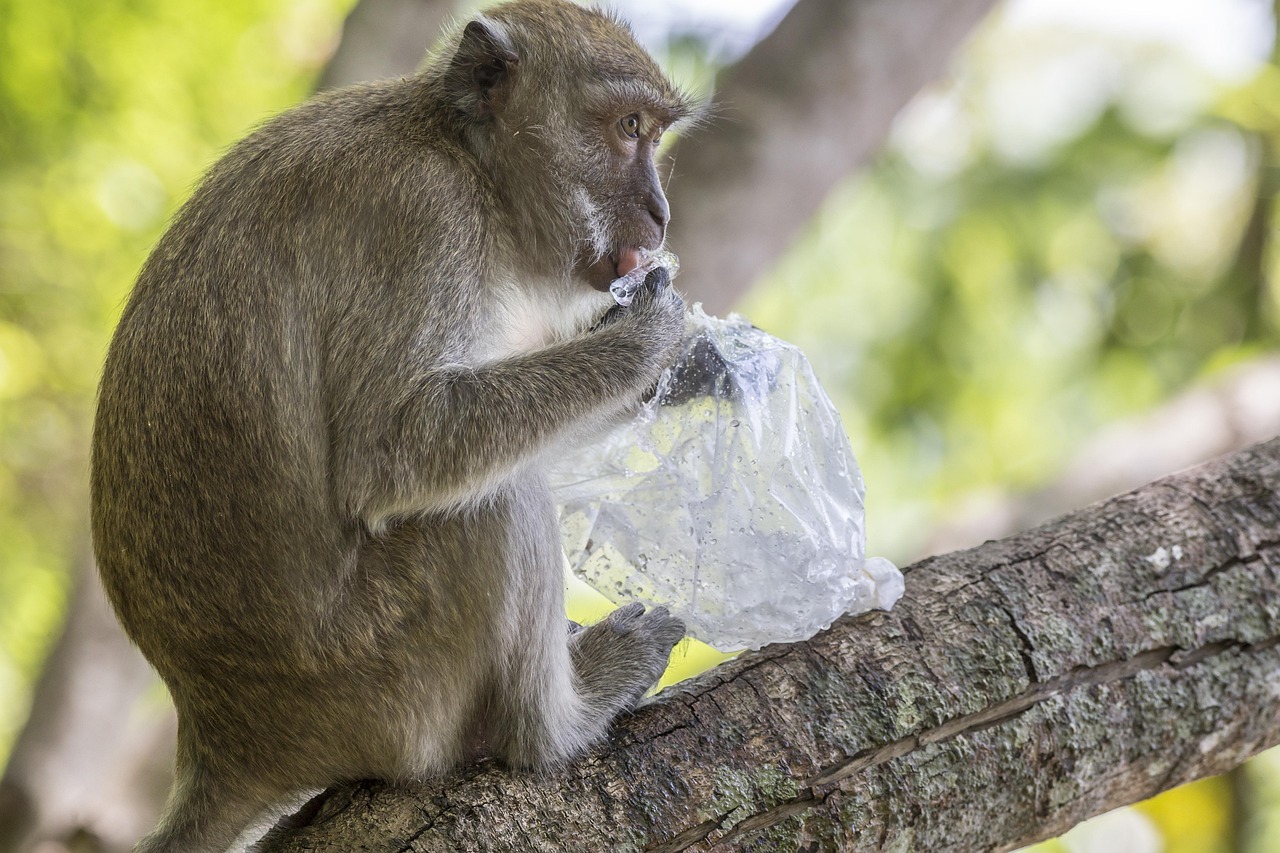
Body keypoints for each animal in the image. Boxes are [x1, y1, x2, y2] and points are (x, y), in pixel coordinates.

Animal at [87, 3, 701, 845]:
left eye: (656, 133)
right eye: (628, 126)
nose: (662, 215)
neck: (465, 158)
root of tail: (224, 735)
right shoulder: (425, 219)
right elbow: (396, 450)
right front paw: (648, 339)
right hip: (386, 680)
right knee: (493, 500)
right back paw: (554, 727)